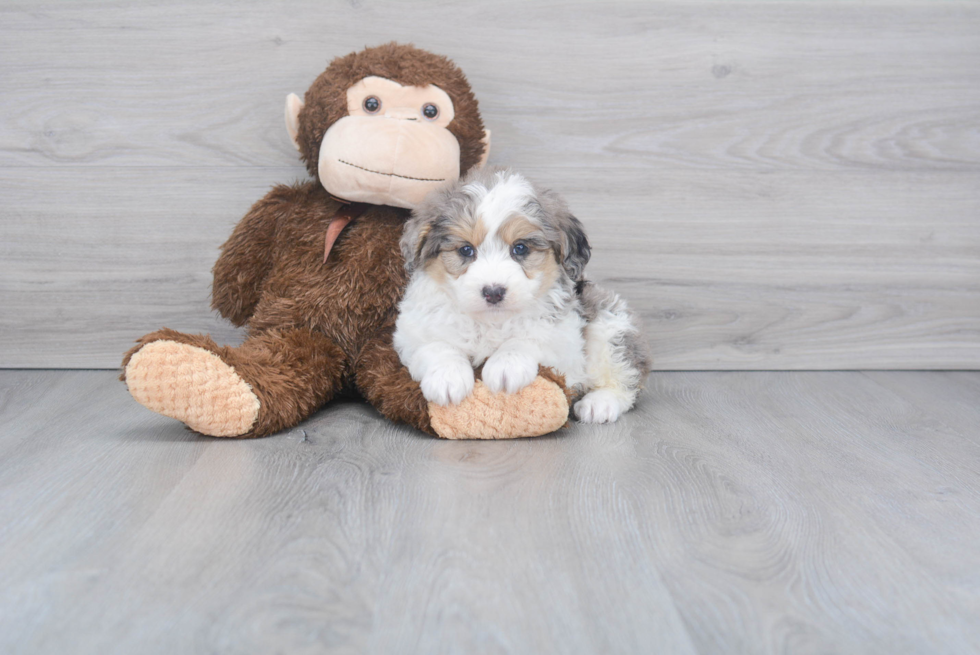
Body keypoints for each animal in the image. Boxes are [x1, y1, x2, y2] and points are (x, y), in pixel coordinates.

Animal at [394, 168, 648, 426]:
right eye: (466, 250)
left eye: (520, 248)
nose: (493, 292)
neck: (490, 321)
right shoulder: (411, 333)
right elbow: (437, 346)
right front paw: (447, 377)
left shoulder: (565, 340)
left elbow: (529, 338)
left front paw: (506, 365)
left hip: (609, 323)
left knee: (625, 377)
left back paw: (600, 403)